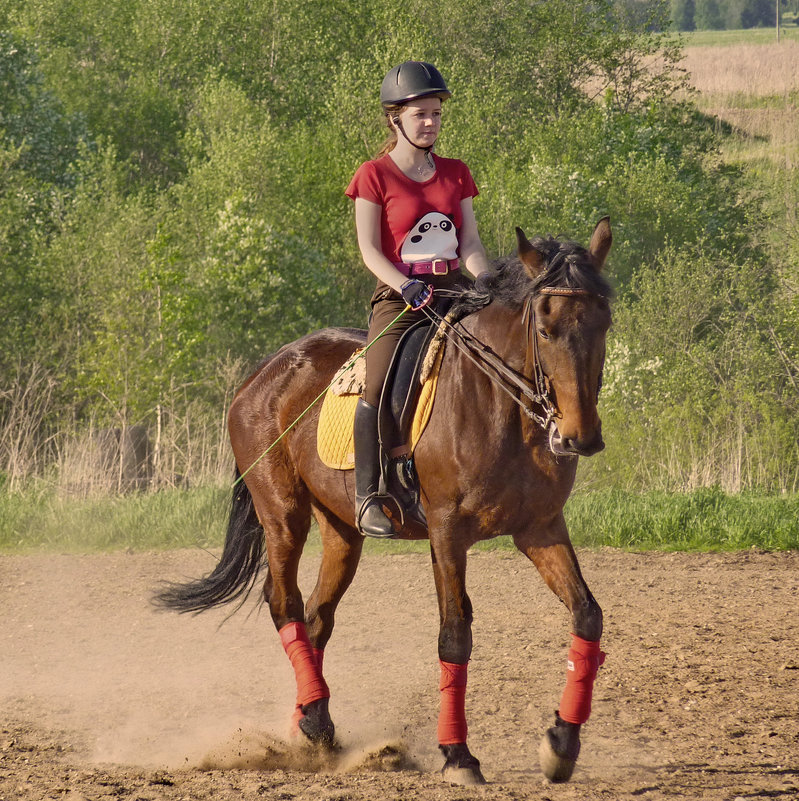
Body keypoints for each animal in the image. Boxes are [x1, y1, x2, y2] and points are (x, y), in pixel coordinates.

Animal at [159, 216, 616, 784]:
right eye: (546, 329)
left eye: (604, 325)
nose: (580, 437)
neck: (500, 406)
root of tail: (261, 372)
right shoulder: (447, 531)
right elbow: (454, 633)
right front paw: (458, 755)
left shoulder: (541, 527)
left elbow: (587, 614)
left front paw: (561, 743)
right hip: (283, 515)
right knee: (284, 602)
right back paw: (314, 725)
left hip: (341, 528)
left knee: (317, 617)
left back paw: (310, 723)